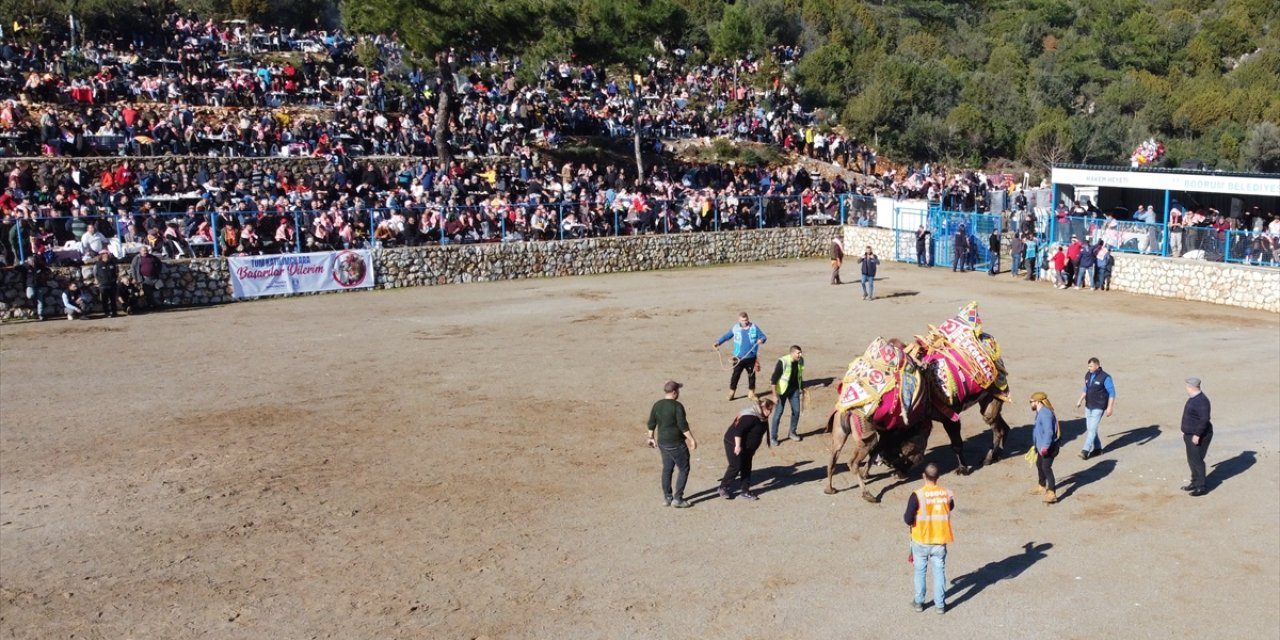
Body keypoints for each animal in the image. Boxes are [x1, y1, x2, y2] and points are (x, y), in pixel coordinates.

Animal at [824, 302, 1013, 501]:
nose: (890, 463)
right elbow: (919, 447)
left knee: (998, 427)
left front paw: (962, 469)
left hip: (992, 399)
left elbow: (952, 444)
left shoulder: (945, 418)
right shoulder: (922, 424)